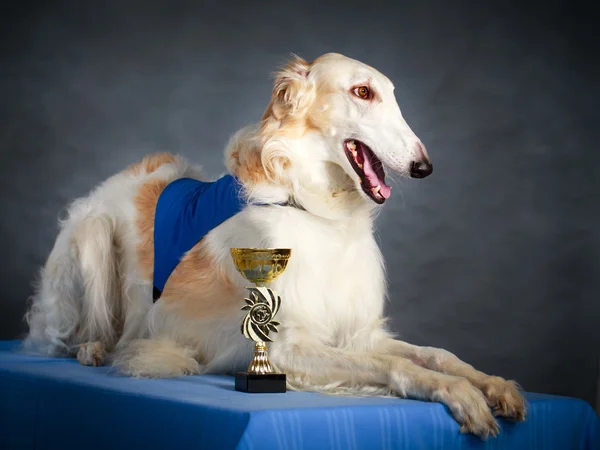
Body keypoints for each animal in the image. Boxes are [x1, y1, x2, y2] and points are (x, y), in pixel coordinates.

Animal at [23, 51, 524, 436]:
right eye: (363, 92)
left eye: (392, 95)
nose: (424, 166)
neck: (314, 209)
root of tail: (121, 176)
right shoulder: (279, 347)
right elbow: (397, 367)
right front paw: (461, 394)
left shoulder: (359, 333)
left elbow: (437, 354)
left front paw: (492, 384)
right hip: (92, 238)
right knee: (66, 338)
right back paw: (94, 349)